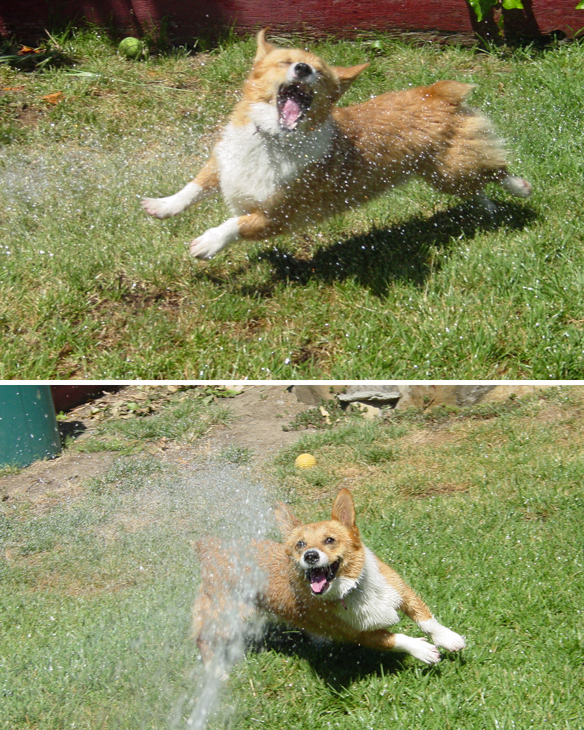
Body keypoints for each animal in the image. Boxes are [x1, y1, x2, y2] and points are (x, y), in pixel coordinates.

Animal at [141, 29, 528, 262]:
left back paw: (520, 188)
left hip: (451, 168)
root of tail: (436, 93)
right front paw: (162, 206)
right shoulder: (223, 164)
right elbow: (194, 187)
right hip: (441, 174)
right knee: (477, 184)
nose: (303, 68)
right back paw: (488, 208)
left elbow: (235, 223)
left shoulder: (278, 216)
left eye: (320, 73)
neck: (274, 141)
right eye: (285, 62)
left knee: (496, 170)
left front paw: (208, 242)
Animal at [194, 486, 468, 668]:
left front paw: (448, 638)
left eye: (330, 540)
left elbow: (426, 618)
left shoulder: (401, 591)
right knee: (203, 639)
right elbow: (396, 639)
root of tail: (209, 548)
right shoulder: (361, 635)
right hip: (227, 618)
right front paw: (422, 649)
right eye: (300, 545)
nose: (310, 556)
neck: (352, 589)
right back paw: (216, 672)